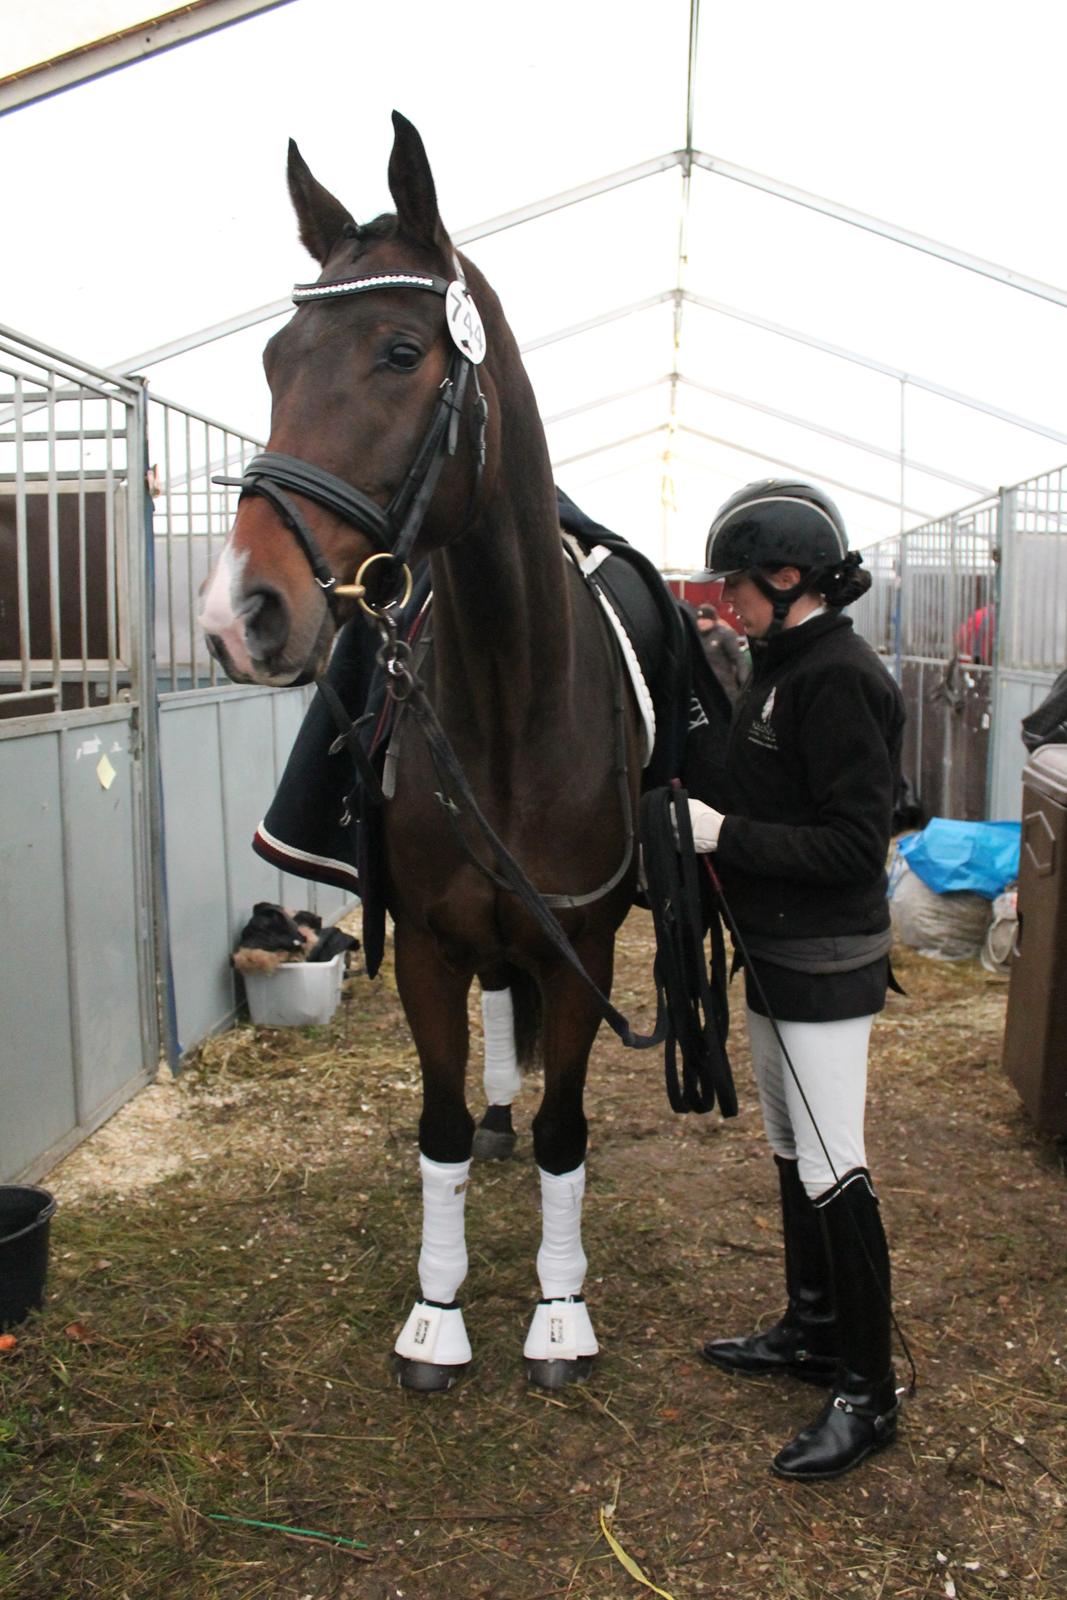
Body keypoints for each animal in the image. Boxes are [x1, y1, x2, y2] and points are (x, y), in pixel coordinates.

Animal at [199, 109, 643, 1388]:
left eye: (401, 352)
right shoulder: (434, 951)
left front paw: (559, 1312)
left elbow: (564, 1133)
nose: (237, 612)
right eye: (272, 360)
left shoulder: (581, 948)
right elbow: (439, 1128)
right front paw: (436, 1316)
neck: (507, 706)